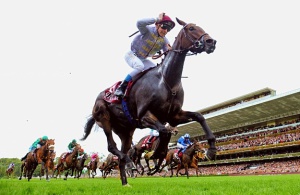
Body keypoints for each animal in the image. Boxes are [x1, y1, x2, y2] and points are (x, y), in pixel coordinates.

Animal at [80, 17, 216, 186]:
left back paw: (126, 182)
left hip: (126, 131)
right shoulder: (144, 116)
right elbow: (164, 131)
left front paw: (212, 149)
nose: (211, 42)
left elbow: (199, 116)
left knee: (121, 155)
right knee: (112, 147)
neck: (166, 80)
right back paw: (130, 162)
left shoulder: (174, 116)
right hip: (104, 119)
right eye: (191, 28)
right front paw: (157, 155)